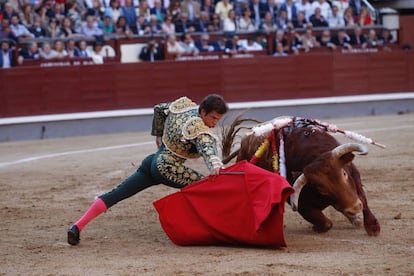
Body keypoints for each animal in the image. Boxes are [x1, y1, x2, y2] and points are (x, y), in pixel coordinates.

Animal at [222, 117, 380, 236]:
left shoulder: (354, 176)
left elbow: (362, 198)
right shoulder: (301, 205)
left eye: (344, 173)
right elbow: (326, 223)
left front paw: (372, 226)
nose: (353, 209)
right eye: (321, 189)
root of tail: (243, 146)